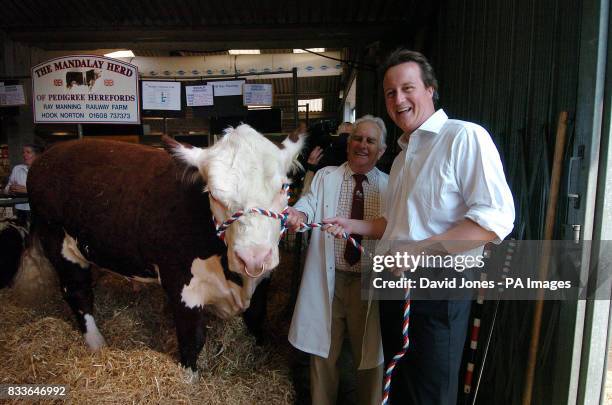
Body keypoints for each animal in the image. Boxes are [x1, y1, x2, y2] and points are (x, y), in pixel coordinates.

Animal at [20, 124, 302, 372]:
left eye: (284, 188)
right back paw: (97, 343)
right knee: (77, 292)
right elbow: (192, 340)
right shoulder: (180, 284)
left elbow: (256, 321)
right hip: (59, 243)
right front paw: (189, 380)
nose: (253, 257)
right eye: (213, 194)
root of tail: (48, 154)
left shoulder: (262, 279)